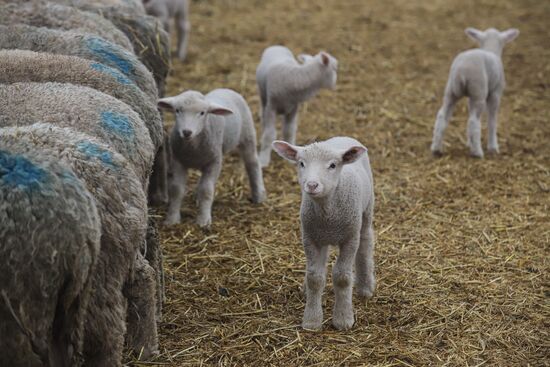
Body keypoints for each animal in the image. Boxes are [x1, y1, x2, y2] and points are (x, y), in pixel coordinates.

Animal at [157, 89, 268, 227]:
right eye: (177, 110)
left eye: (202, 113)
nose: (187, 132)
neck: (192, 147)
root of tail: (225, 89)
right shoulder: (178, 161)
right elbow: (176, 189)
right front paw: (172, 219)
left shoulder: (214, 162)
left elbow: (206, 190)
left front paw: (203, 221)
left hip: (247, 134)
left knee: (252, 163)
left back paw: (258, 195)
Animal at [274, 137, 378, 332]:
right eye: (301, 163)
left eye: (332, 165)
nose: (312, 185)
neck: (328, 214)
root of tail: (343, 136)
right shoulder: (311, 238)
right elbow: (315, 277)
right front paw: (312, 320)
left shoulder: (349, 239)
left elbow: (342, 278)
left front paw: (343, 319)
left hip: (366, 211)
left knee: (366, 243)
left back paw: (365, 286)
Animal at [432, 26, 520, 158]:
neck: (491, 49)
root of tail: (461, 71)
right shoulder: (495, 93)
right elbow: (492, 119)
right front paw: (493, 146)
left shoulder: (470, 97)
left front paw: (469, 142)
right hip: (479, 91)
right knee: (474, 121)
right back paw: (477, 152)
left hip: (451, 91)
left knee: (442, 116)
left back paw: (436, 149)